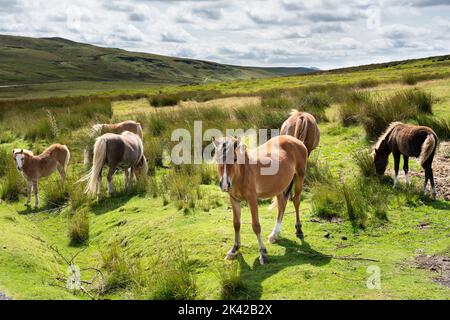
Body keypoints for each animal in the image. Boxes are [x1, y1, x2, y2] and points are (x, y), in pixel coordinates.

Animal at [213, 134, 308, 264]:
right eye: (218, 160)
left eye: (235, 159)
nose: (225, 184)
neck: (242, 172)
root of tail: (295, 140)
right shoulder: (234, 200)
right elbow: (236, 224)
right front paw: (234, 249)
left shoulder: (252, 199)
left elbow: (256, 226)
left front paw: (263, 253)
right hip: (279, 186)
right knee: (282, 206)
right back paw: (274, 235)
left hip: (300, 177)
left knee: (296, 201)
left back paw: (298, 230)